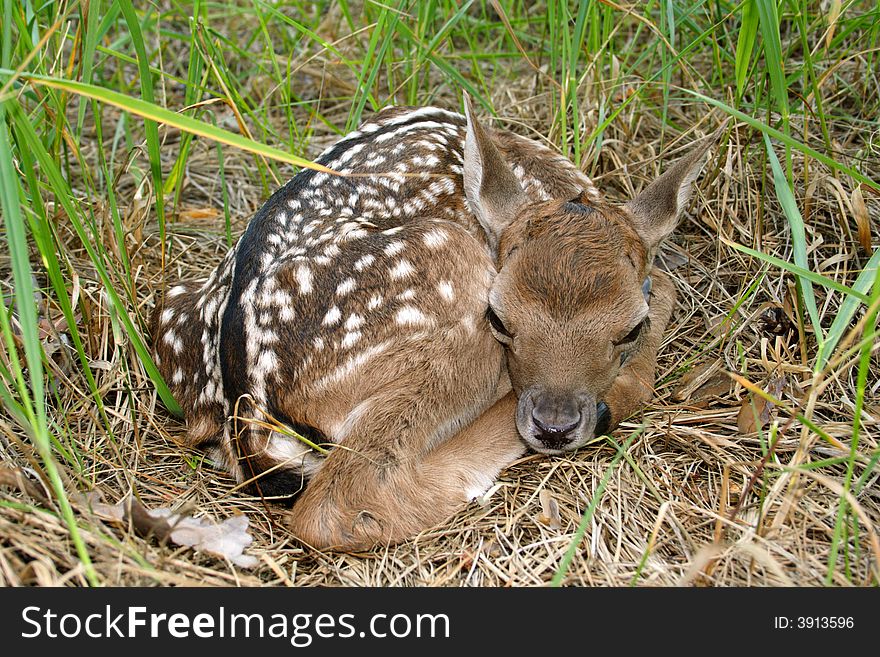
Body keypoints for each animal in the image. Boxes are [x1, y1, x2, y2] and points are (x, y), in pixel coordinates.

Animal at [150, 95, 708, 552]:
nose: (554, 426)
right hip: (444, 274)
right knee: (337, 502)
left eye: (628, 330)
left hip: (174, 308)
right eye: (499, 317)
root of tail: (245, 412)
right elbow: (667, 287)